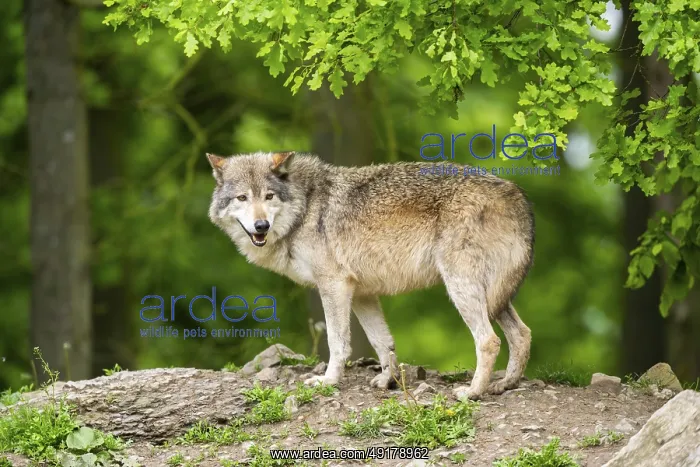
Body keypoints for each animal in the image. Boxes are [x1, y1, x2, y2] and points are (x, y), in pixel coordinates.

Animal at [206, 151, 534, 400]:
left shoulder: (334, 285)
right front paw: (388, 381)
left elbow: (337, 342)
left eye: (269, 196)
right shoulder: (362, 293)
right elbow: (383, 343)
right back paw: (506, 384)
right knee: (522, 333)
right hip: (493, 295)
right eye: (242, 198)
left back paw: (473, 392)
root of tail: (514, 192)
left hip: (462, 289)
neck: (305, 207)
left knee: (489, 341)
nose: (260, 226)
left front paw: (328, 381)